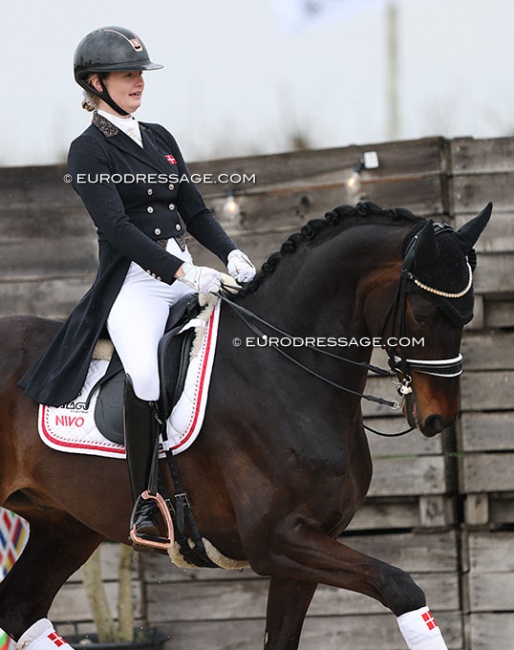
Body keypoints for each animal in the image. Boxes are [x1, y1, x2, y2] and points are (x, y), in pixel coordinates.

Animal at [0, 200, 488, 644]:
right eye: (423, 313)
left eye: (468, 313)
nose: (439, 415)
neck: (283, 366)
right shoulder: (275, 540)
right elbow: (401, 586)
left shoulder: (305, 551)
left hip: (65, 524)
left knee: (20, 607)